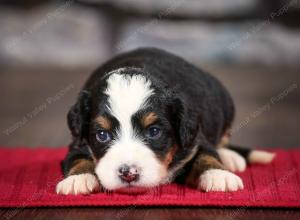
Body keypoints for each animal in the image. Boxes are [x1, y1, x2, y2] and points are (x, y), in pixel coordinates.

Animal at [55, 47, 276, 194]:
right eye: (102, 135)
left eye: (154, 132)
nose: (128, 173)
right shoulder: (78, 142)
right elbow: (78, 158)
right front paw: (77, 179)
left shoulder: (195, 140)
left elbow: (206, 155)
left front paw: (219, 175)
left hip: (225, 105)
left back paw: (230, 157)